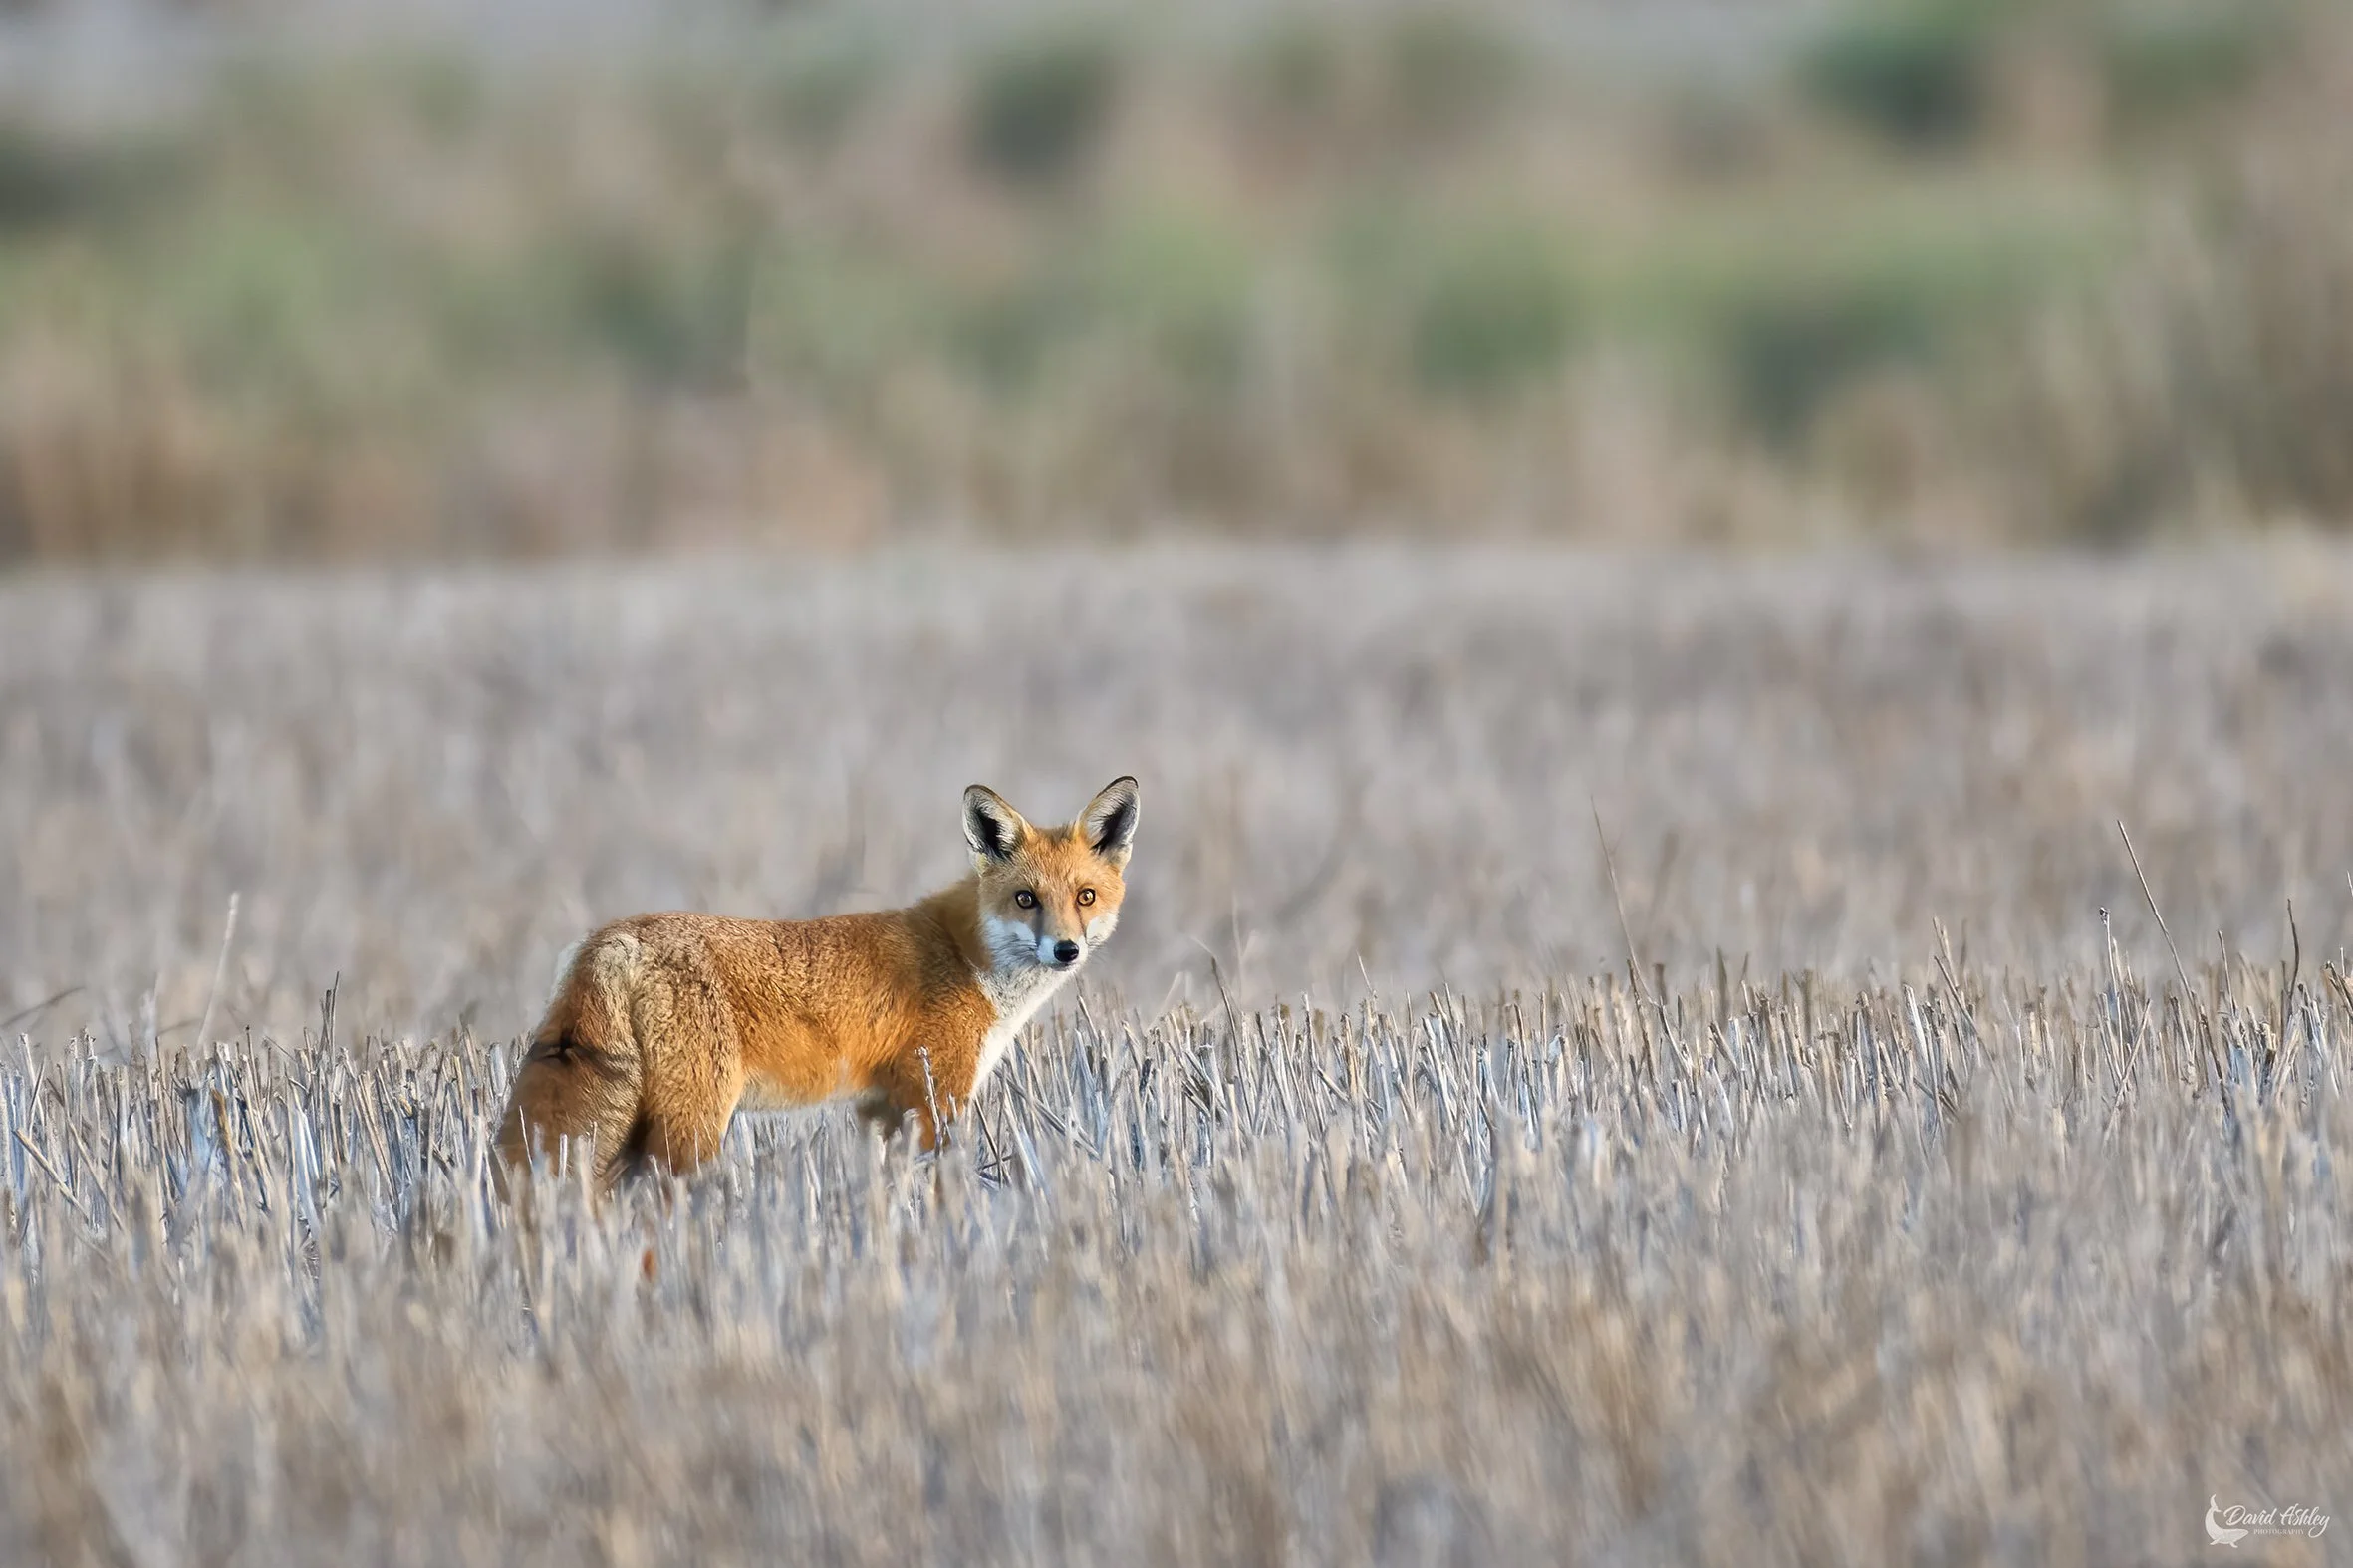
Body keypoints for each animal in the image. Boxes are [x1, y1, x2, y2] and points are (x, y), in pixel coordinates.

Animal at [495, 776, 1138, 1196]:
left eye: (1085, 897)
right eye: (1026, 899)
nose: (1066, 950)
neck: (967, 956)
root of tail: (611, 939)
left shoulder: (879, 1108)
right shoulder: (936, 1100)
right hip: (691, 1129)